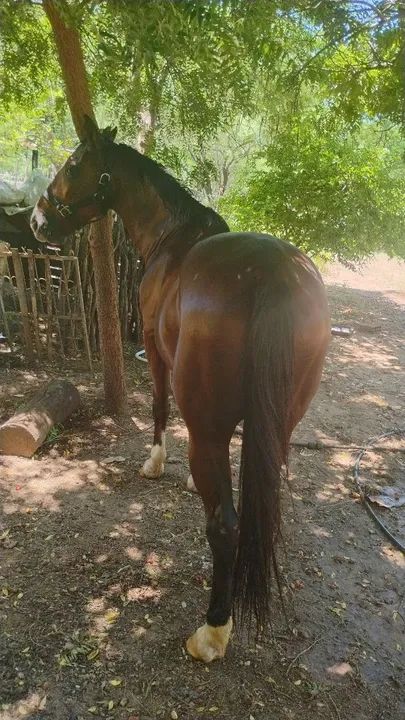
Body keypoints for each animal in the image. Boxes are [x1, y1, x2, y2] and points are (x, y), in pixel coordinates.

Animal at [31, 115, 330, 663]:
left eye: (74, 164)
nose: (39, 221)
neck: (171, 237)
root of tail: (272, 274)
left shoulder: (154, 349)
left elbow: (157, 404)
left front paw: (155, 462)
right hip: (279, 424)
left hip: (212, 427)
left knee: (226, 525)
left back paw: (213, 631)